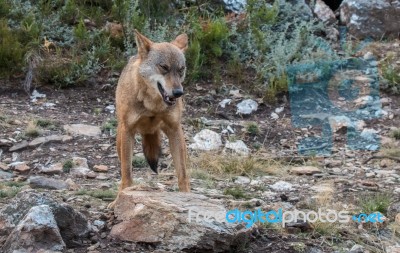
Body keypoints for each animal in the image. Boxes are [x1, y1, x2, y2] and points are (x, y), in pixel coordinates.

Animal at [108, 30, 191, 208]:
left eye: (181, 69)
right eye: (164, 67)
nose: (178, 93)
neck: (152, 105)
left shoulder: (175, 130)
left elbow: (182, 174)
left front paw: (187, 198)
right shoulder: (128, 131)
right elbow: (127, 175)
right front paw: (120, 200)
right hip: (120, 139)